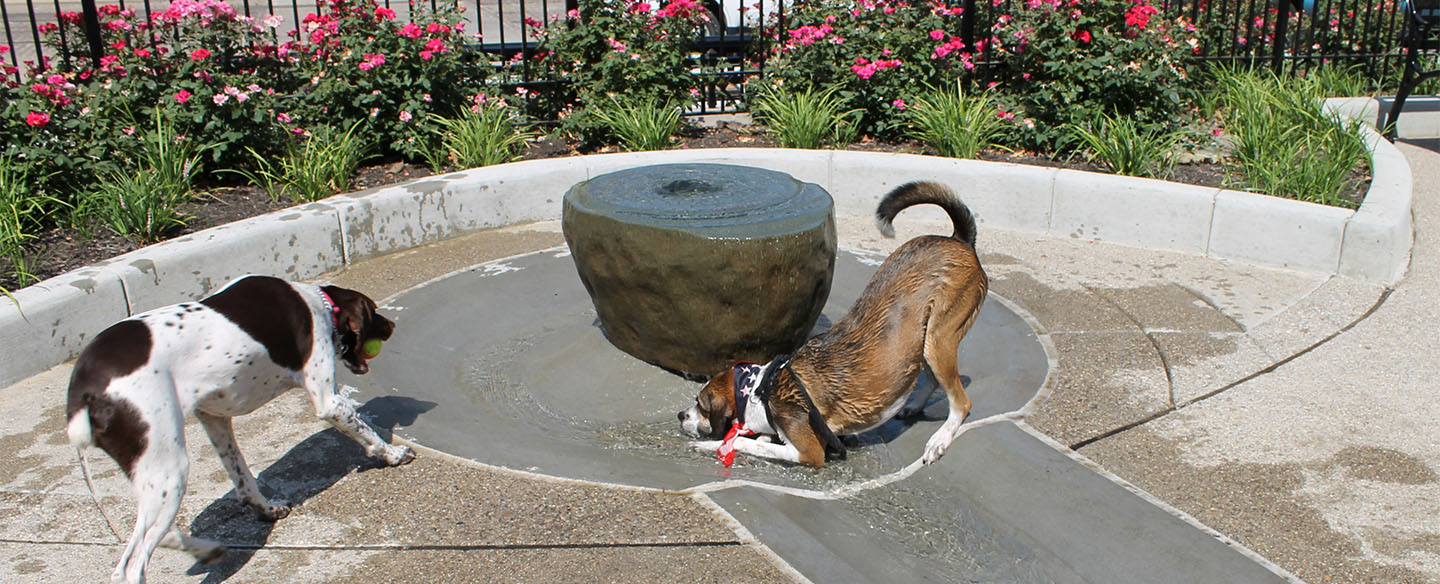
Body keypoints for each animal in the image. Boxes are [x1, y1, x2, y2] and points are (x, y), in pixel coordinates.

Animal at [68, 274, 417, 584]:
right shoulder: (327, 400)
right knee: (130, 566)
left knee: (160, 533)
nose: (392, 325)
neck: (318, 302)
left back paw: (207, 551)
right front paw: (394, 453)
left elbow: (242, 477)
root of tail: (83, 390)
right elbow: (368, 432)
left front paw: (266, 507)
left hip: (154, 473)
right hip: (169, 467)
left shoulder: (213, 417)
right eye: (374, 312)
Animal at [679, 180, 984, 468]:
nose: (681, 414)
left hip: (939, 337)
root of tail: (959, 240)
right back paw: (916, 406)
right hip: (923, 341)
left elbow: (746, 442)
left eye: (701, 404)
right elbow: (748, 439)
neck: (763, 389)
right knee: (932, 378)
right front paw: (710, 446)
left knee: (961, 402)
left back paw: (940, 439)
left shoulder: (808, 451)